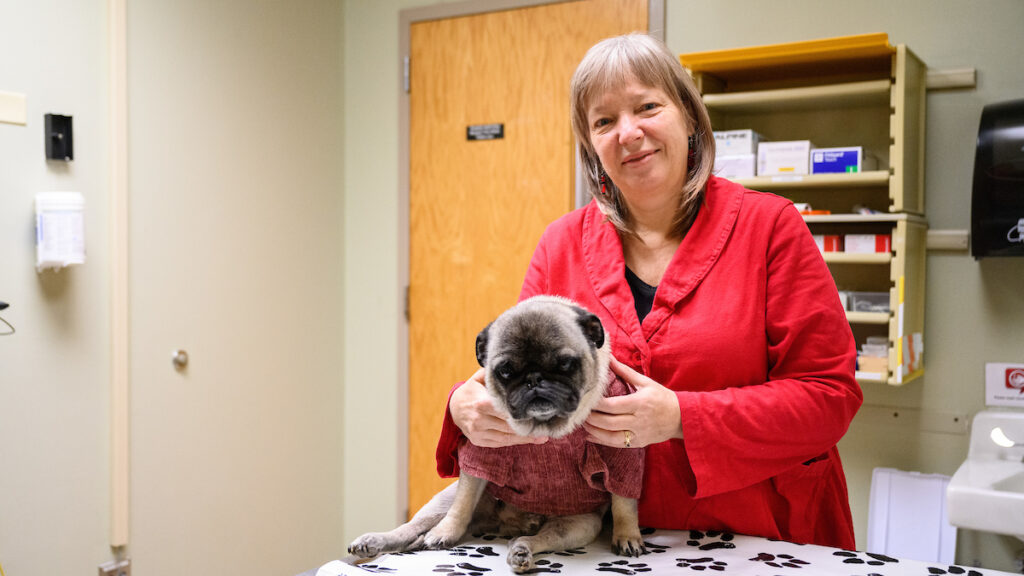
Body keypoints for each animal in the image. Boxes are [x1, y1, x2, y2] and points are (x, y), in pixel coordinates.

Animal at [348, 293, 643, 569]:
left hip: (578, 525)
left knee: (539, 539)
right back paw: (375, 540)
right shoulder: (480, 452)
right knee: (412, 527)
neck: (547, 430)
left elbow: (623, 501)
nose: (534, 379)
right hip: (441, 503)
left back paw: (521, 549)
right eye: (506, 370)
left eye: (565, 364)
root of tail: (505, 523)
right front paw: (445, 532)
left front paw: (627, 534)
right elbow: (463, 503)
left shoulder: (622, 453)